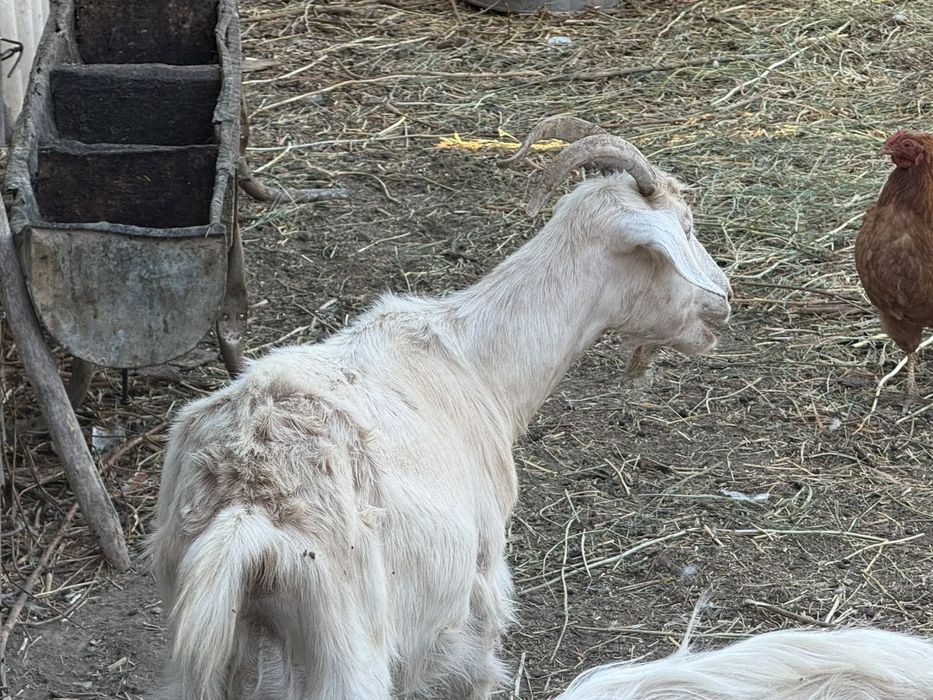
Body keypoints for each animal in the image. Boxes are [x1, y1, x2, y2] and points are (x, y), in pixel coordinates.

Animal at [148, 115, 732, 699]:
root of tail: (246, 505)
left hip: (200, 650)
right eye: (685, 225)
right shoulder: (482, 582)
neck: (473, 363)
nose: (724, 297)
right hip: (348, 649)